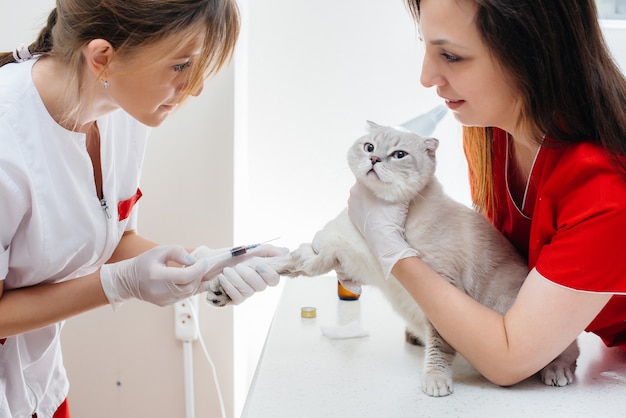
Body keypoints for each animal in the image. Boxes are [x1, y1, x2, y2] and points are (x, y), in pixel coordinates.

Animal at [206, 122, 580, 396]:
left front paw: (436, 381)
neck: (382, 213)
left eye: (398, 154)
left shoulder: (443, 287)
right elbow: (272, 266)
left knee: (568, 351)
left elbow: (439, 349)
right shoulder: (326, 254)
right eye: (369, 147)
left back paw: (557, 373)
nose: (375, 161)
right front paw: (222, 290)